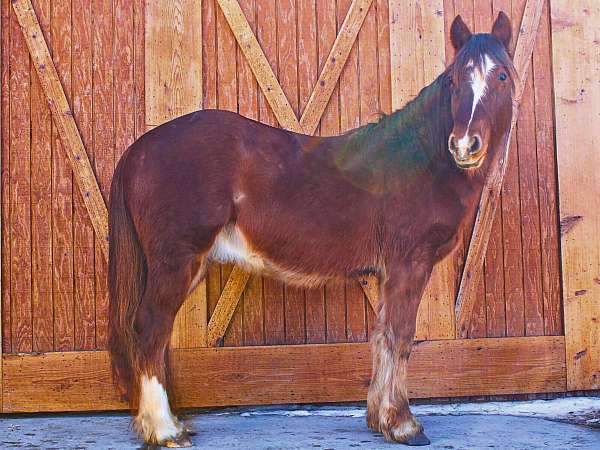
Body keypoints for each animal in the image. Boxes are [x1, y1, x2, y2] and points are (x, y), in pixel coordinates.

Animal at [108, 13, 516, 446]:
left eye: (502, 75)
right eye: (455, 79)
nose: (465, 145)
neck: (419, 160)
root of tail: (140, 148)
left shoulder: (390, 274)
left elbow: (382, 337)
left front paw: (380, 418)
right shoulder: (409, 266)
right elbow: (400, 337)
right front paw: (404, 424)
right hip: (176, 261)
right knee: (150, 329)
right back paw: (165, 429)